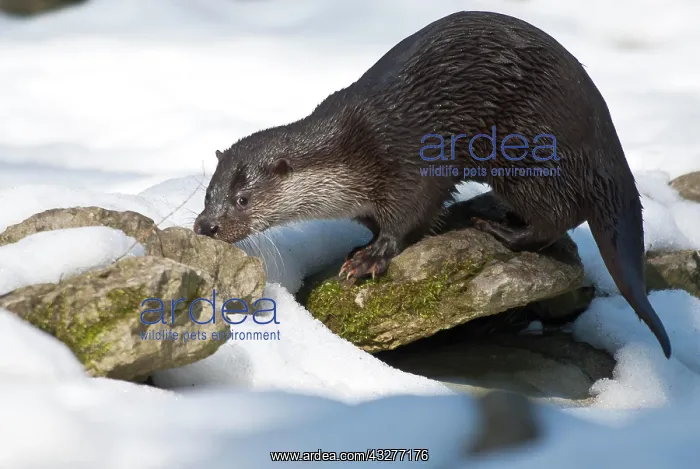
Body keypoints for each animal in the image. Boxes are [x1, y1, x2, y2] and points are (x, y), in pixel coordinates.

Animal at [194, 11, 672, 358]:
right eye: (208, 195)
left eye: (242, 199)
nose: (205, 226)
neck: (350, 152)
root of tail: (601, 131)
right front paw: (359, 246)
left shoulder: (408, 163)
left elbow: (409, 216)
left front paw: (370, 259)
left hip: (529, 153)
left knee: (557, 217)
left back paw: (496, 227)